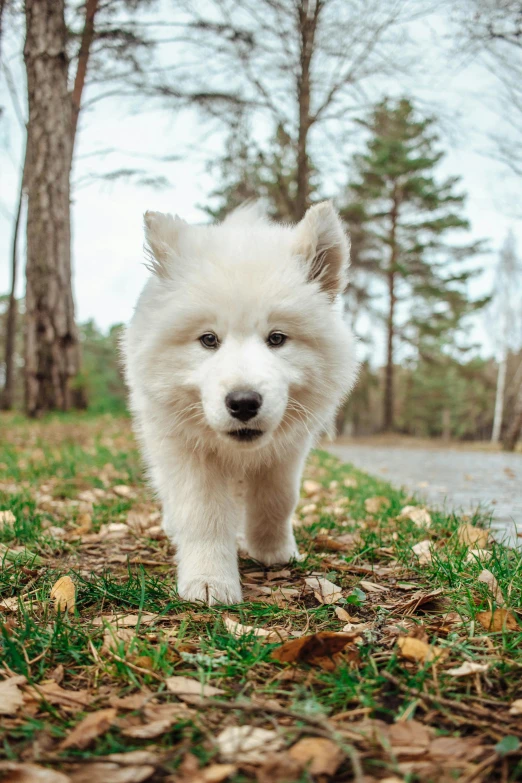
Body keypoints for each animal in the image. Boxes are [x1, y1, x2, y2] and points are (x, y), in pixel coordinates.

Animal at [123, 202, 358, 608]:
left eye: (277, 338)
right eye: (208, 339)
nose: (244, 402)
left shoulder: (288, 450)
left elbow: (278, 500)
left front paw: (272, 551)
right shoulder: (185, 450)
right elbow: (203, 515)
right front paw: (208, 581)